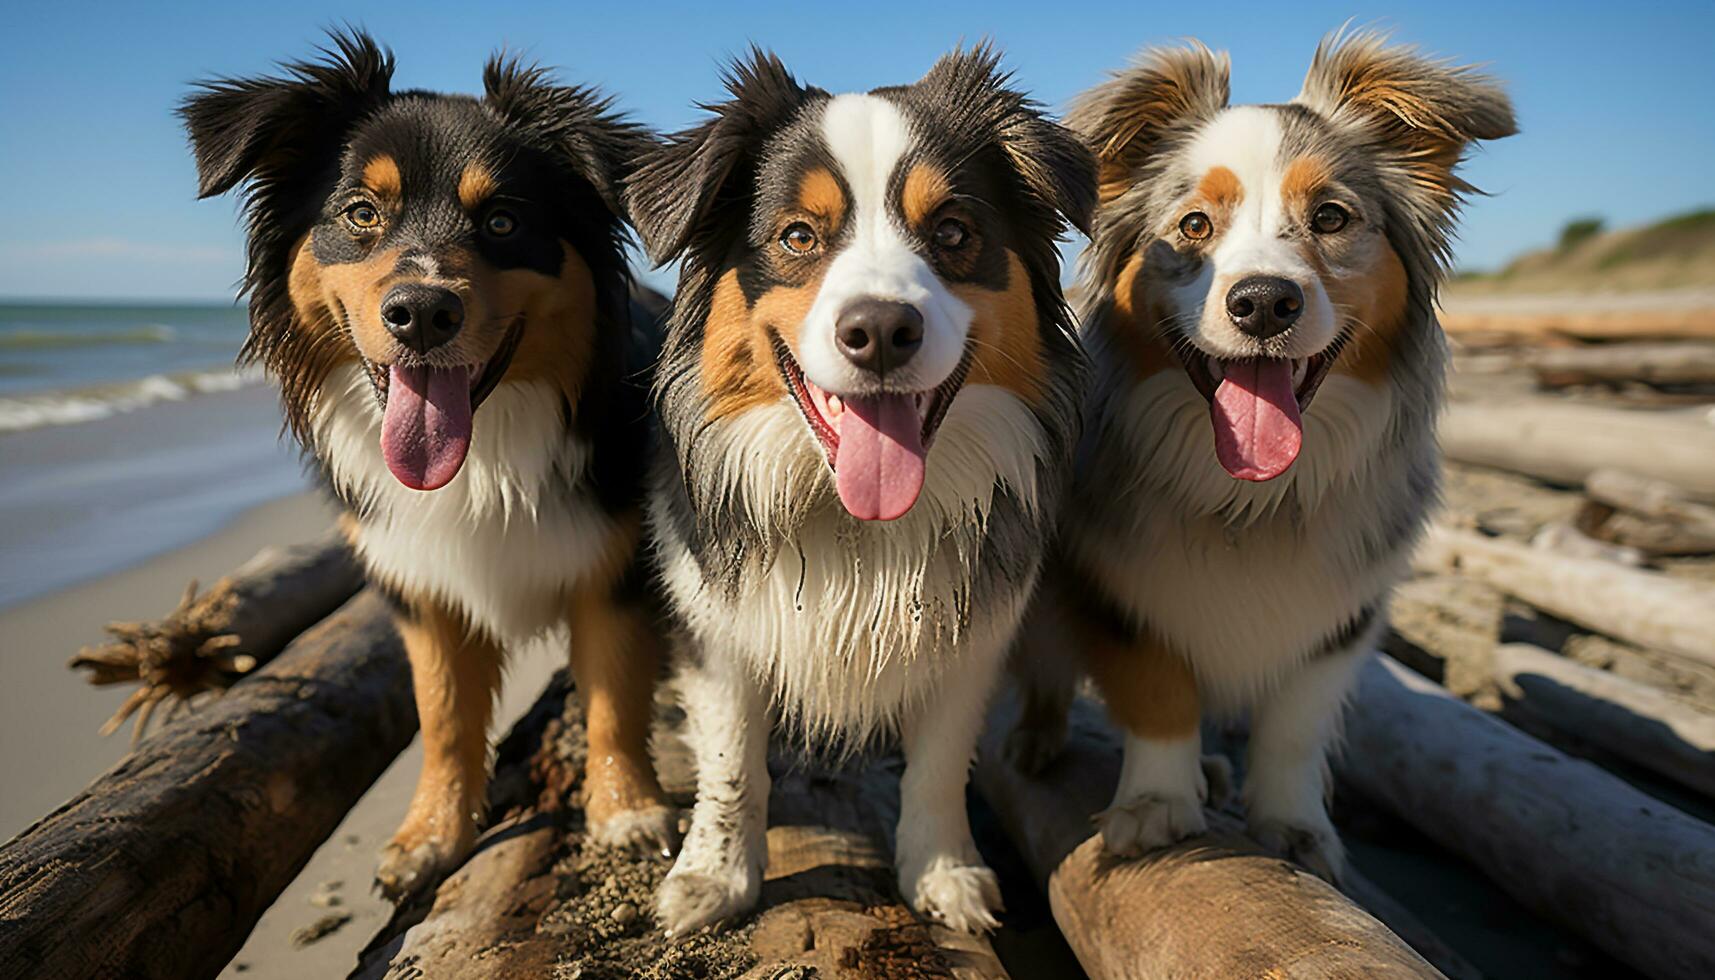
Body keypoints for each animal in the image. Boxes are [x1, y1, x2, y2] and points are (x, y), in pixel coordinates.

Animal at [184, 34, 672, 899]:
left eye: (504, 221)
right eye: (361, 213)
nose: (421, 312)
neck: (482, 458)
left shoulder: (613, 566)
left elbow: (614, 695)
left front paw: (627, 811)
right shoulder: (420, 581)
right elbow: (443, 714)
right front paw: (430, 835)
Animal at [634, 49, 1097, 940]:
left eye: (951, 232)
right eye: (797, 236)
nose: (880, 330)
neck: (855, 522)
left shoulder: (971, 633)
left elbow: (939, 764)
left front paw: (943, 873)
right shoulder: (716, 627)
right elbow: (731, 760)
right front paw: (713, 879)